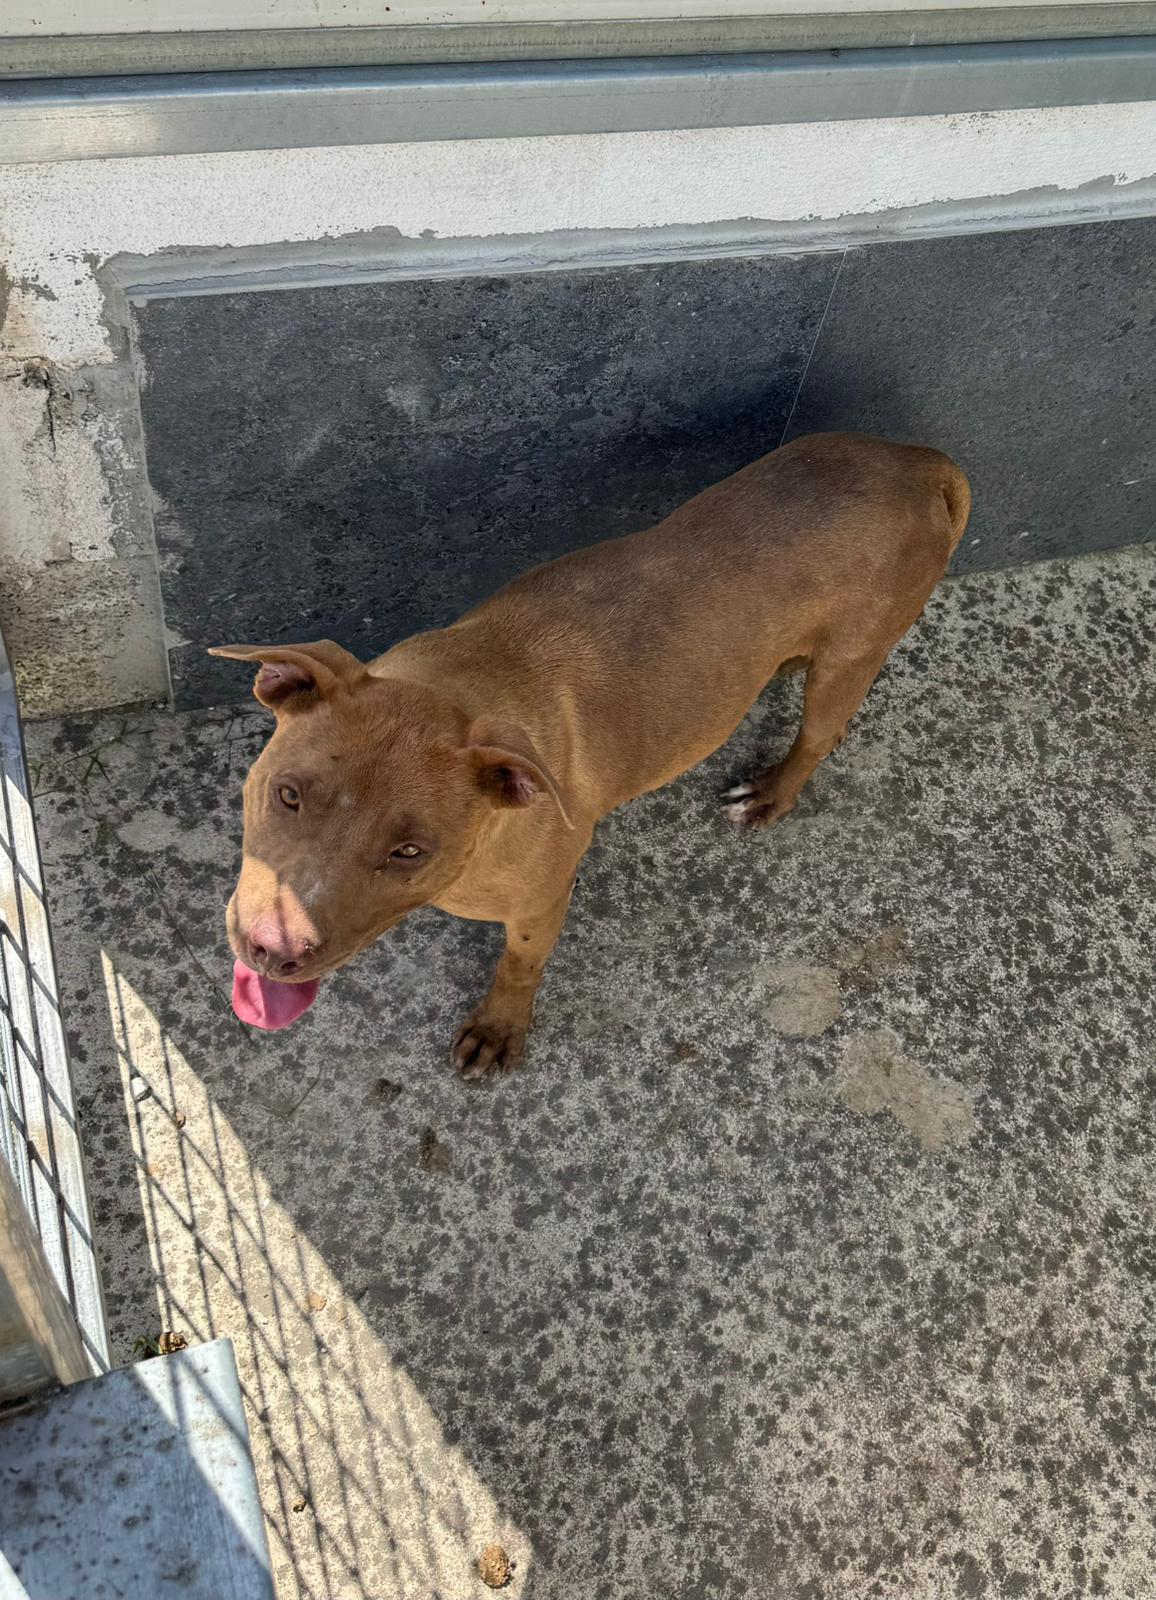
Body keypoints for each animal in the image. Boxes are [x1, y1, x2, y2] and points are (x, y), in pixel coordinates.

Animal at [215, 431, 969, 1079]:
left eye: (409, 851)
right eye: (287, 795)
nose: (273, 950)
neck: (461, 685)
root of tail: (918, 461)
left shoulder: (540, 903)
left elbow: (519, 965)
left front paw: (500, 1028)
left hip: (850, 658)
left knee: (817, 735)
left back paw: (771, 793)